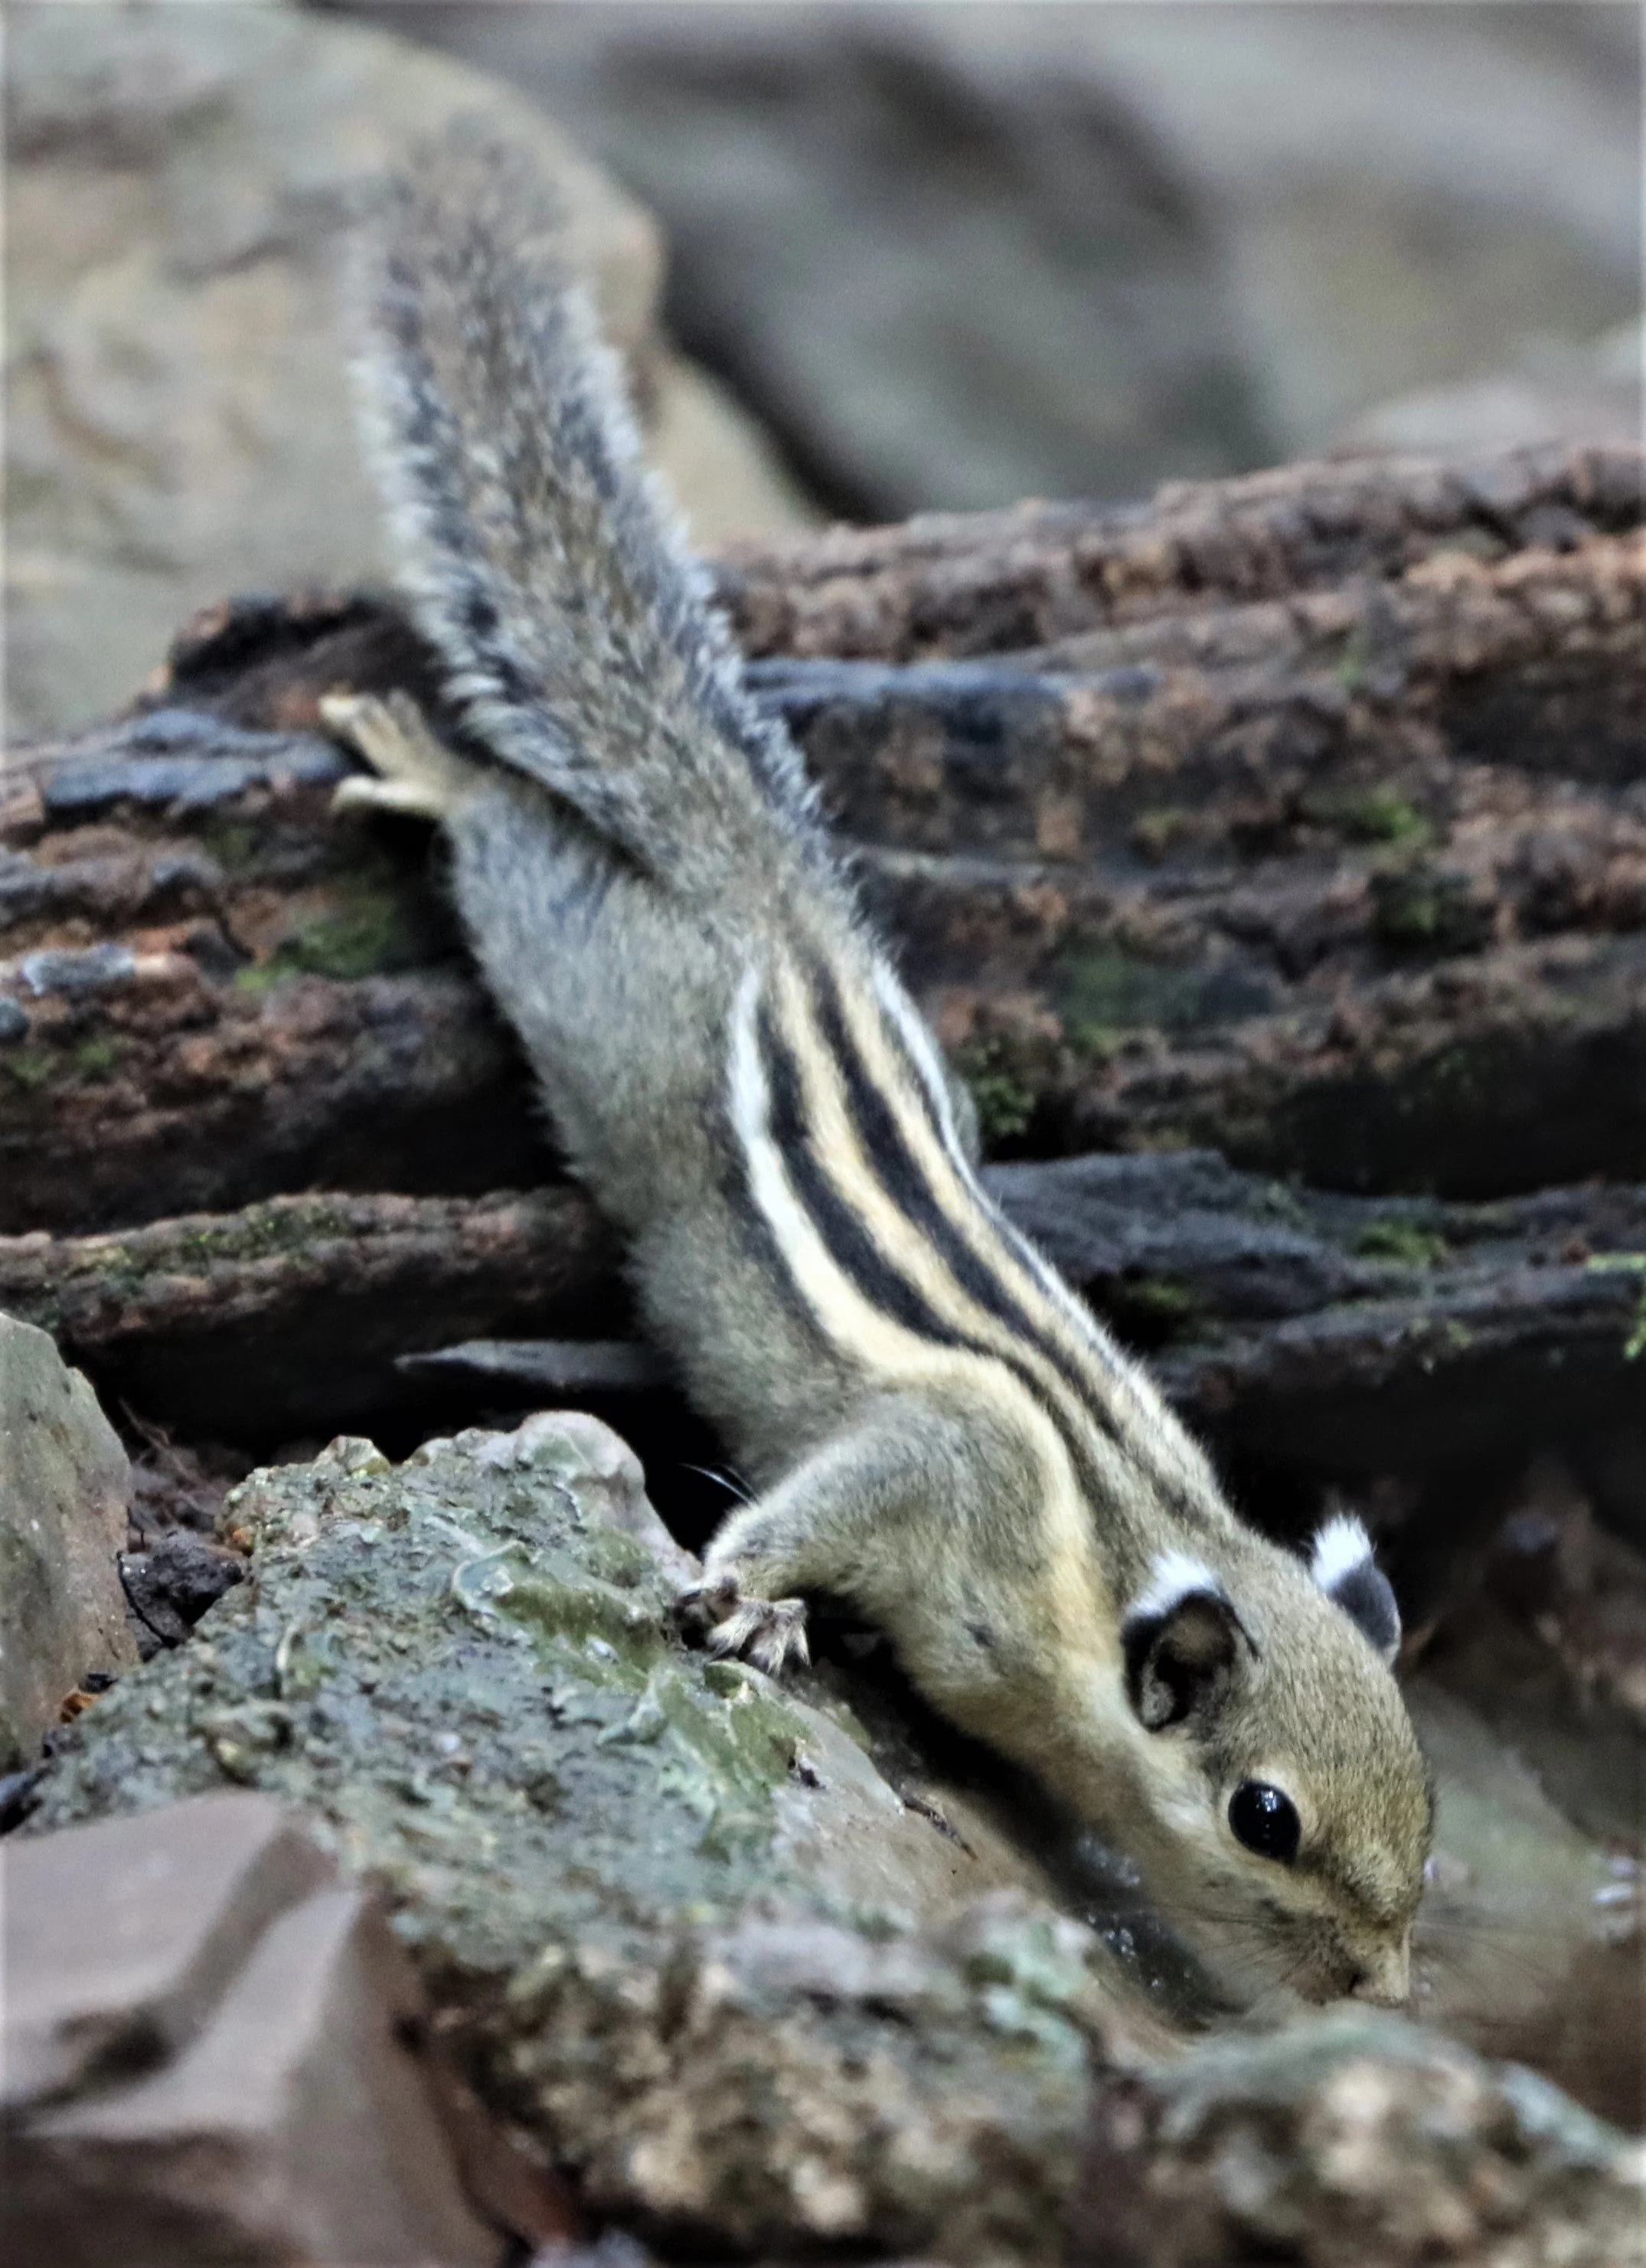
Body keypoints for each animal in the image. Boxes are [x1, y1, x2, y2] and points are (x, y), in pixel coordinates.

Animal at [321, 131, 1432, 2010]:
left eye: (1423, 1819)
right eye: (1266, 1815)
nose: (1385, 1990)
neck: (1108, 1554)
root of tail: (778, 900)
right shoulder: (937, 1463)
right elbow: (809, 1500)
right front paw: (748, 1597)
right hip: (601, 995)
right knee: (516, 851)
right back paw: (434, 771)